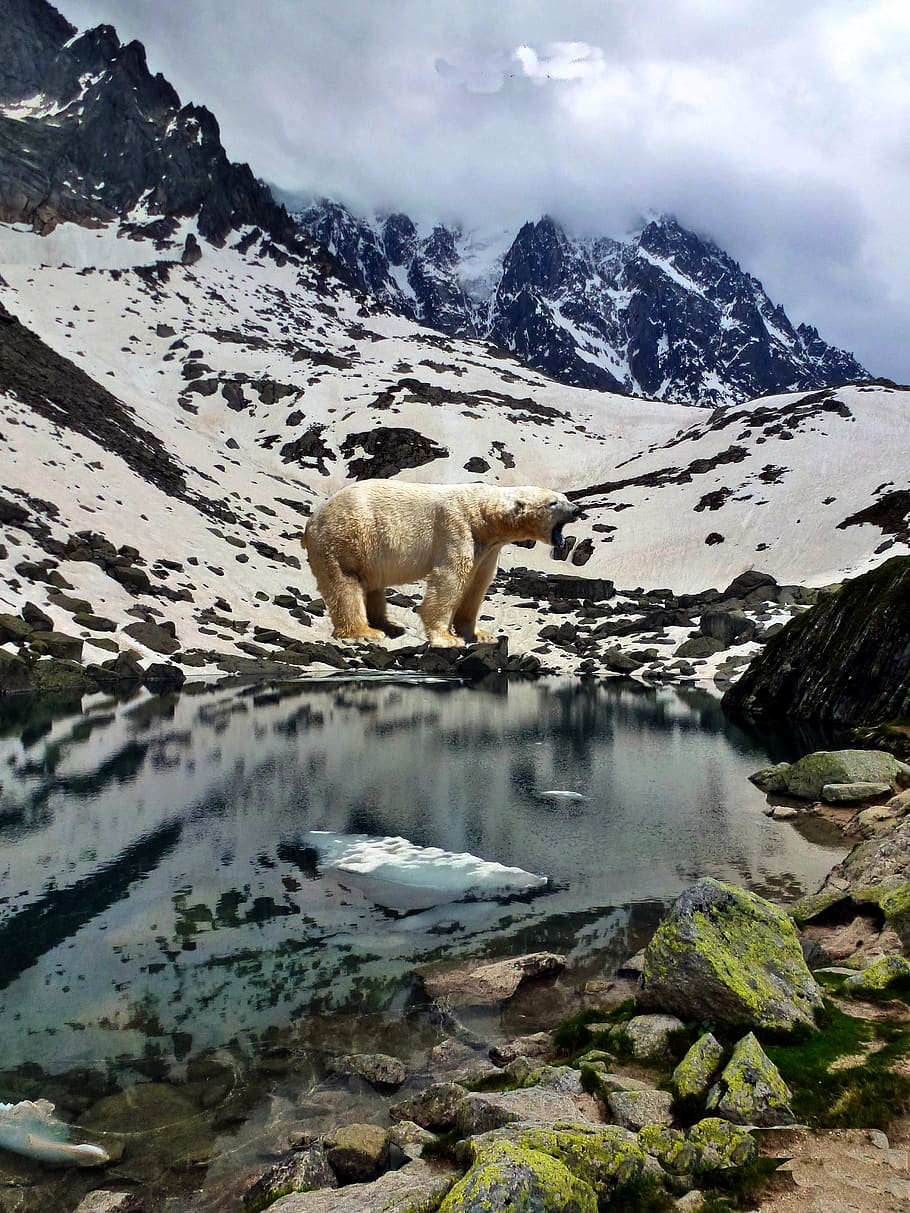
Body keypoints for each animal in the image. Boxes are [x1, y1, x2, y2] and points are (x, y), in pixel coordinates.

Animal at [304, 480, 579, 647]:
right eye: (553, 502)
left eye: (564, 497)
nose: (577, 510)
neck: (483, 516)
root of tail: (312, 520)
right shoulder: (456, 528)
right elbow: (450, 579)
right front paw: (447, 638)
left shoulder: (487, 548)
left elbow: (477, 584)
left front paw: (480, 634)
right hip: (346, 539)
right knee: (346, 584)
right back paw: (365, 632)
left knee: (372, 587)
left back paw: (390, 625)